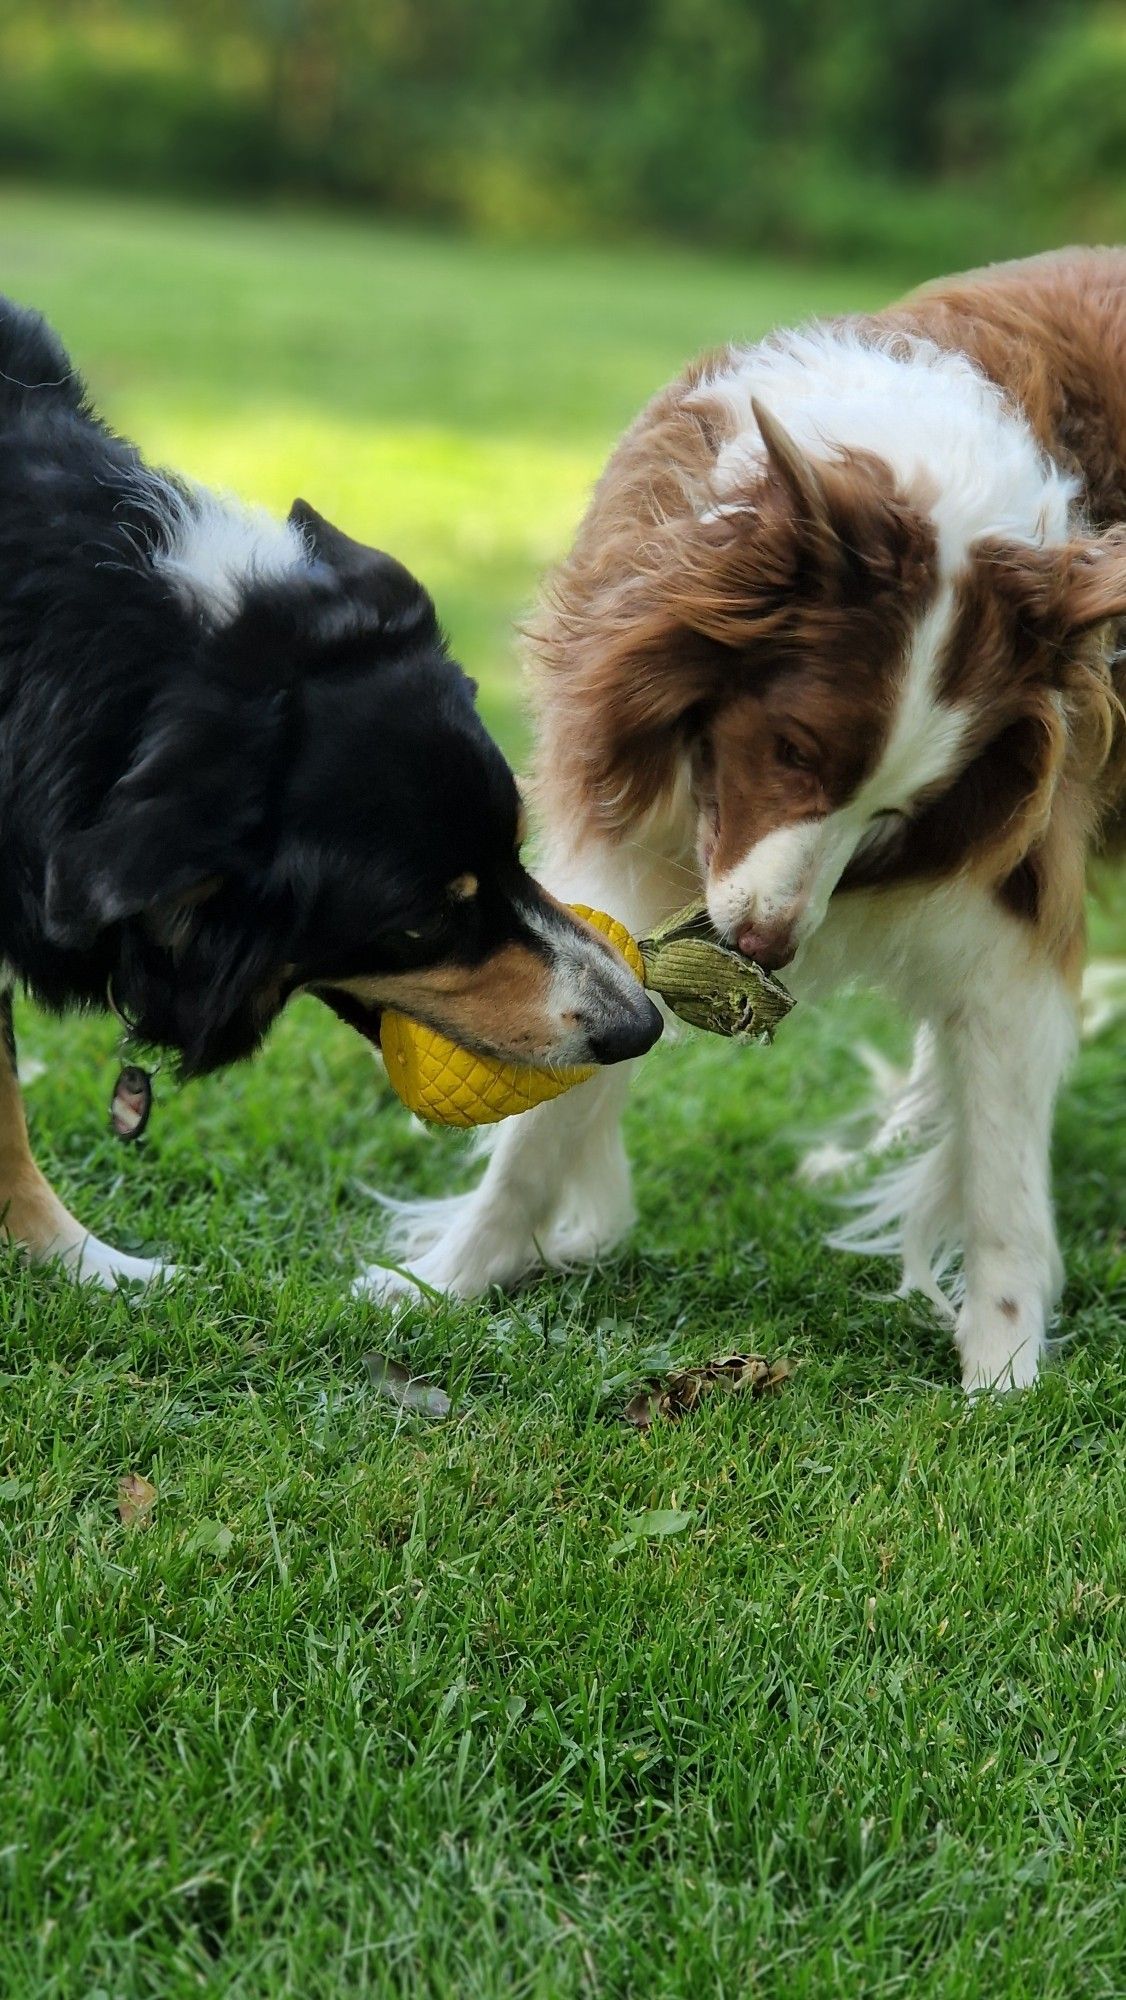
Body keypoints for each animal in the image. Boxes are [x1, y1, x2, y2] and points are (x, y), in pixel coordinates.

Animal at [364, 250, 1126, 1400]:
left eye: (903, 807)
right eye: (797, 752)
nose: (765, 947)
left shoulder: (1012, 873)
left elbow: (1001, 1141)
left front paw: (1001, 1366)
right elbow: (559, 1089)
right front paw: (455, 1275)